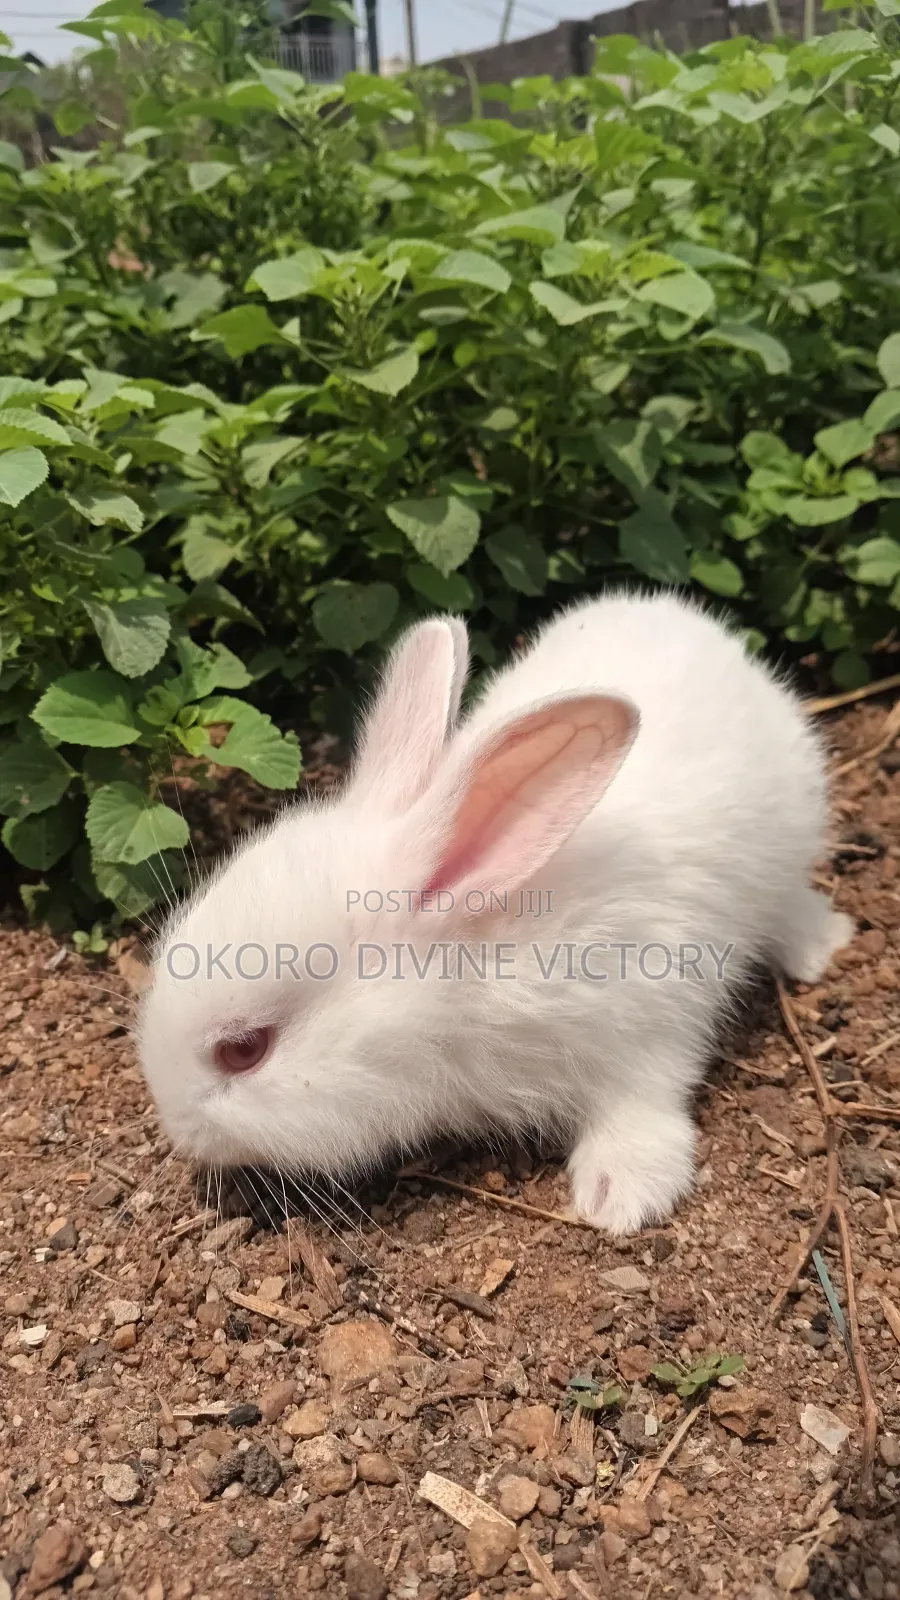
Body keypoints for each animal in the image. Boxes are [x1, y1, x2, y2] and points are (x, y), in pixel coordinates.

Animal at [136, 591, 854, 1236]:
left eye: (244, 1050)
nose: (177, 1128)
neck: (463, 982)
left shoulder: (645, 1025)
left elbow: (644, 1104)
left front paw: (619, 1198)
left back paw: (819, 949)